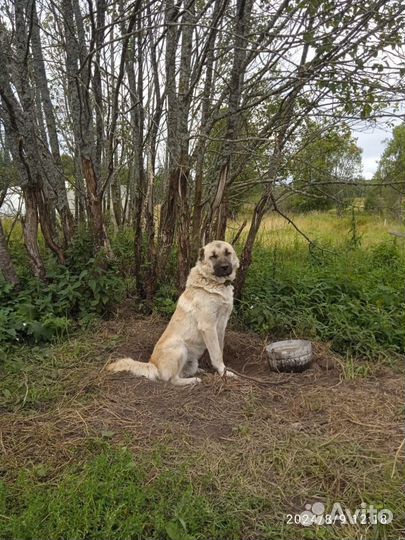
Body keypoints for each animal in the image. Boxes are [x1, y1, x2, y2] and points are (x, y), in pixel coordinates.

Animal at [108, 239, 240, 384]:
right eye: (213, 256)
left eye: (227, 253)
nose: (225, 267)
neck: (215, 283)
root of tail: (153, 364)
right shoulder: (208, 326)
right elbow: (216, 355)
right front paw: (223, 372)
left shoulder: (221, 327)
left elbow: (219, 350)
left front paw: (224, 371)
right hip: (180, 347)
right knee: (173, 379)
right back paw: (193, 380)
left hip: (190, 359)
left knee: (184, 372)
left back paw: (198, 371)